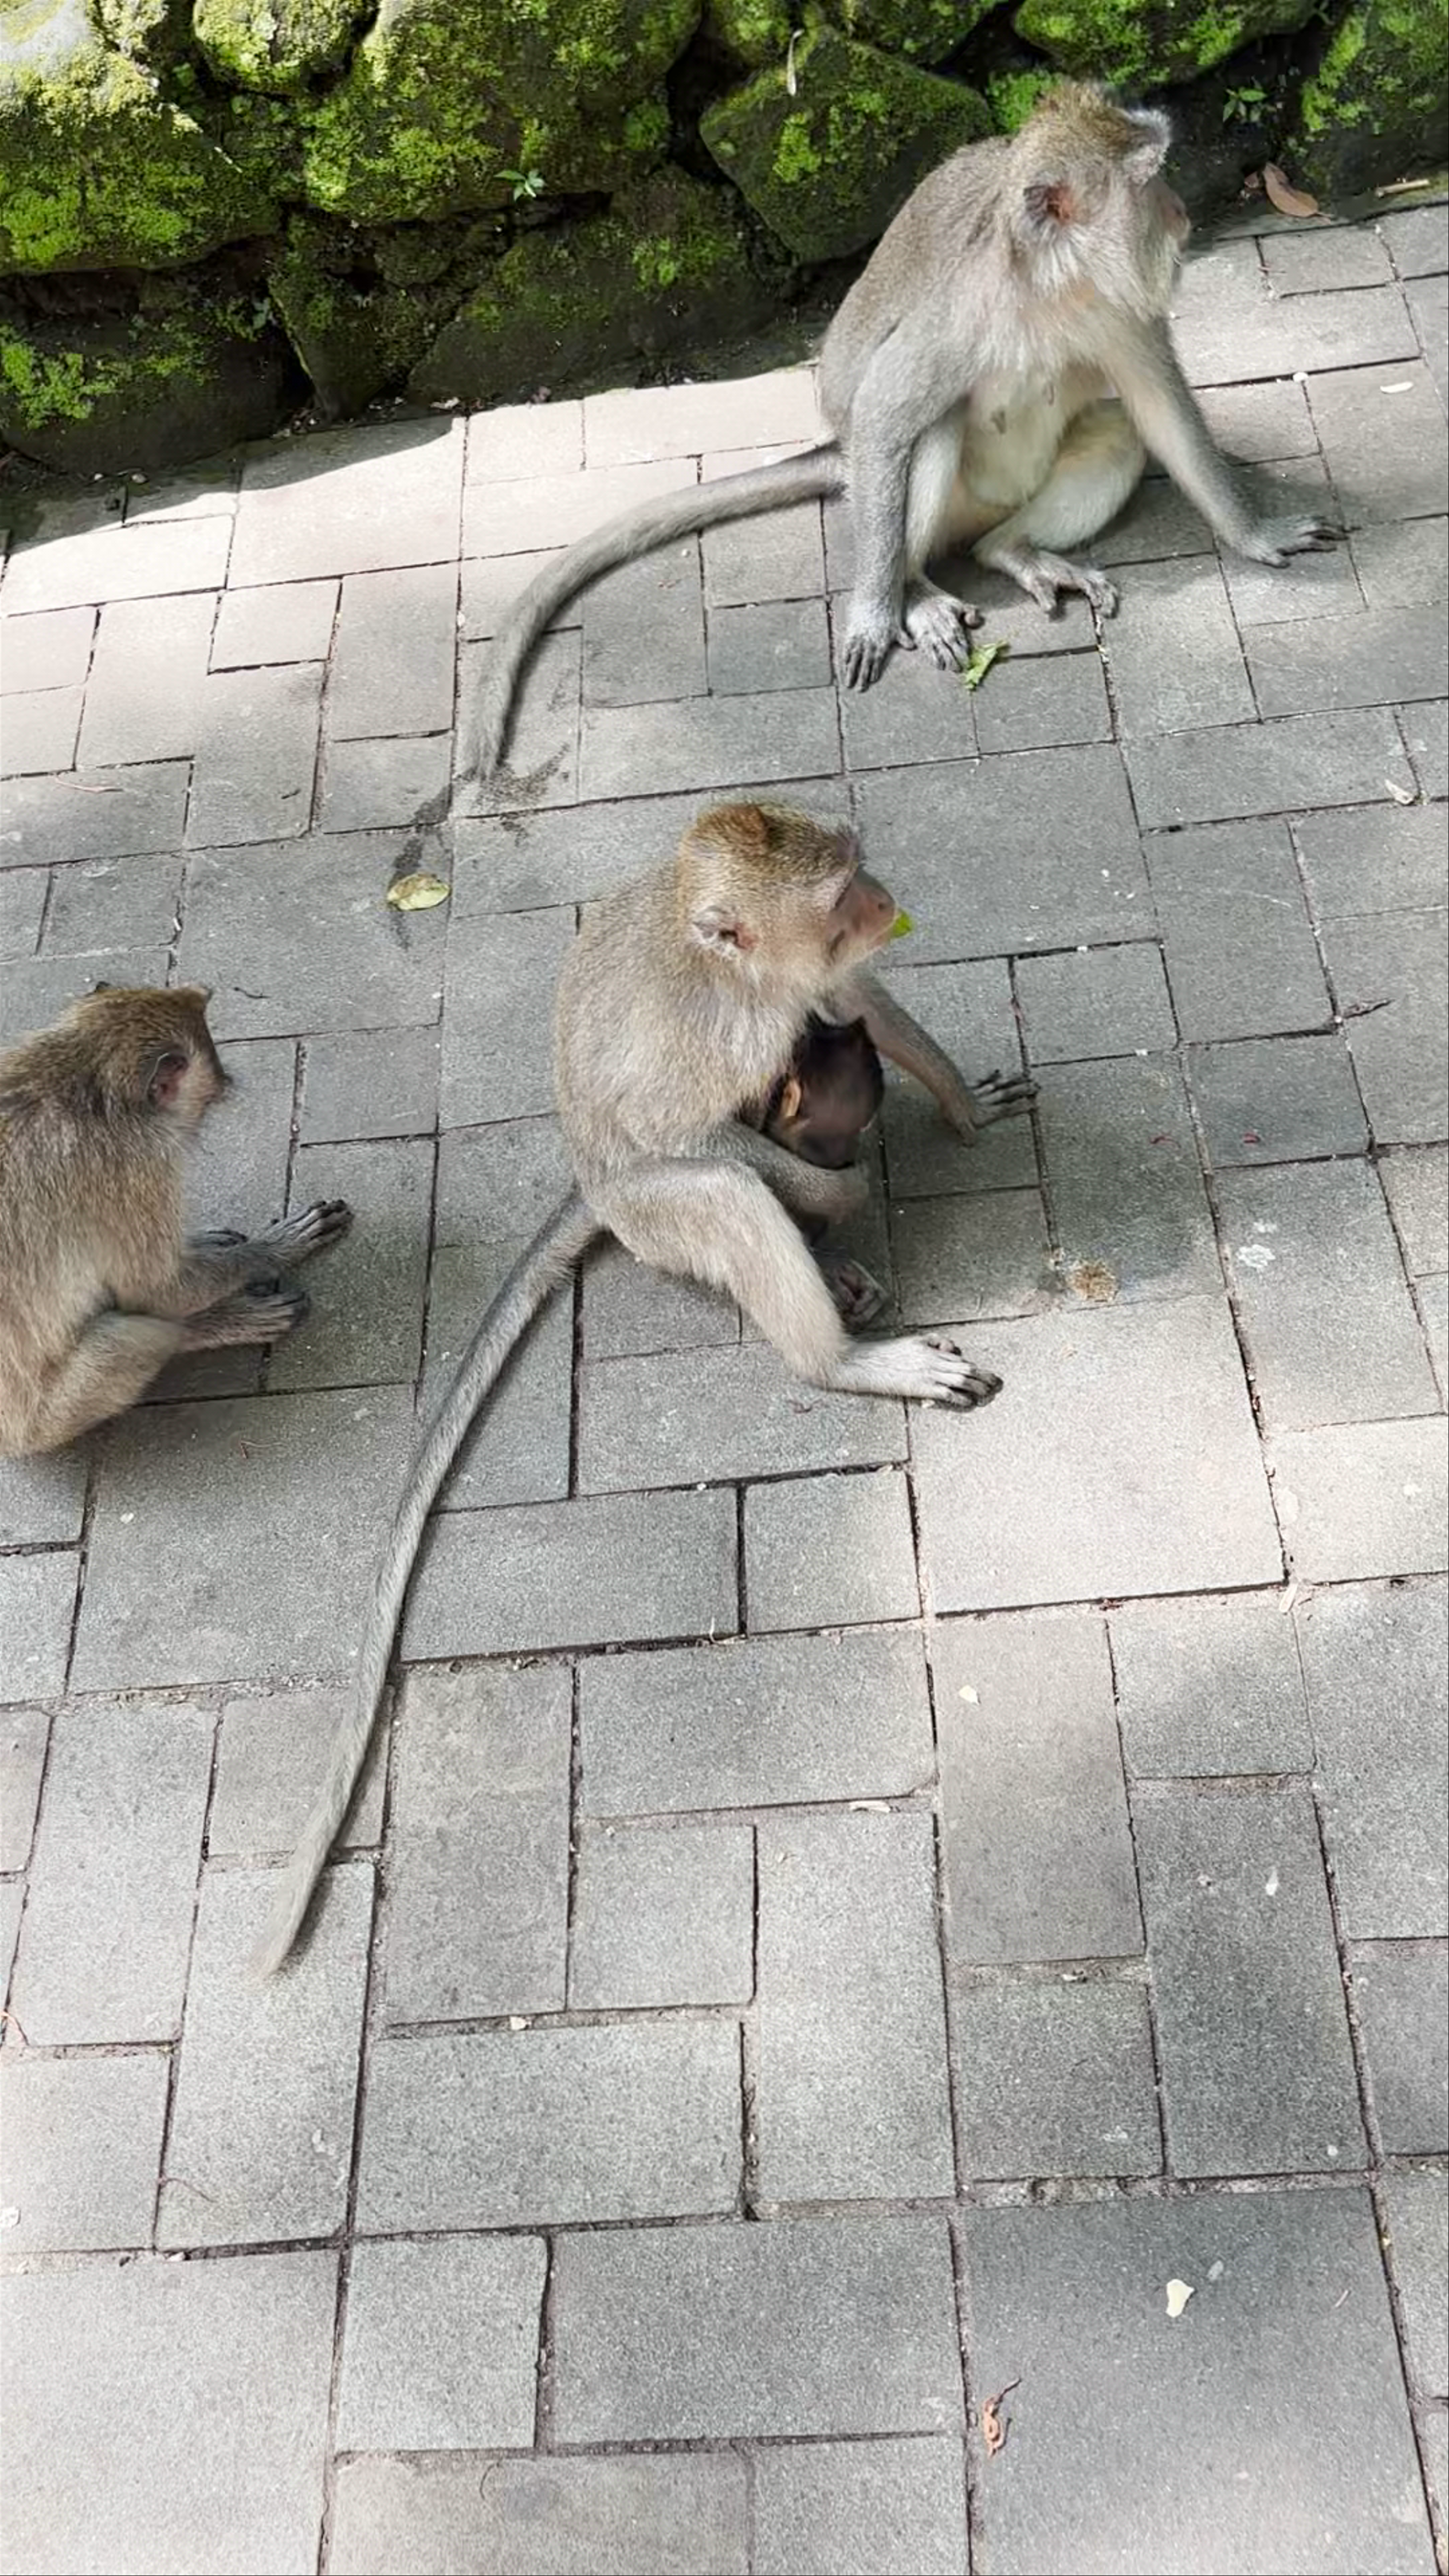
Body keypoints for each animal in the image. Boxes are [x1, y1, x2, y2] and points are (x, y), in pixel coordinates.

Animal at [0, 986, 353, 1458]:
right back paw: (206, 1327)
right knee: (124, 1335)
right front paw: (274, 1248)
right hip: (49, 1421)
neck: (76, 1081)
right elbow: (159, 1291)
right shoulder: (138, 1165)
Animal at [252, 802, 1034, 1977]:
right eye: (841, 890)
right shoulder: (723, 1038)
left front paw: (960, 1104)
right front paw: (835, 1188)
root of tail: (590, 1186)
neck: (740, 972)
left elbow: (858, 1004)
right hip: (650, 1213)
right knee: (720, 1186)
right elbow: (699, 1136)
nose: (886, 893)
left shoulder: (813, 988)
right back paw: (840, 1341)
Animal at [469, 79, 1335, 761]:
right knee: (925, 431)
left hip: (1002, 507)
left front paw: (1255, 532)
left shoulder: (1117, 313)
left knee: (1104, 442)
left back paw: (1015, 550)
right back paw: (913, 588)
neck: (1052, 293)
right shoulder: (961, 314)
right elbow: (890, 407)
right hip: (900, 484)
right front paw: (875, 612)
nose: (1184, 208)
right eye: (1149, 180)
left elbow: (1159, 406)